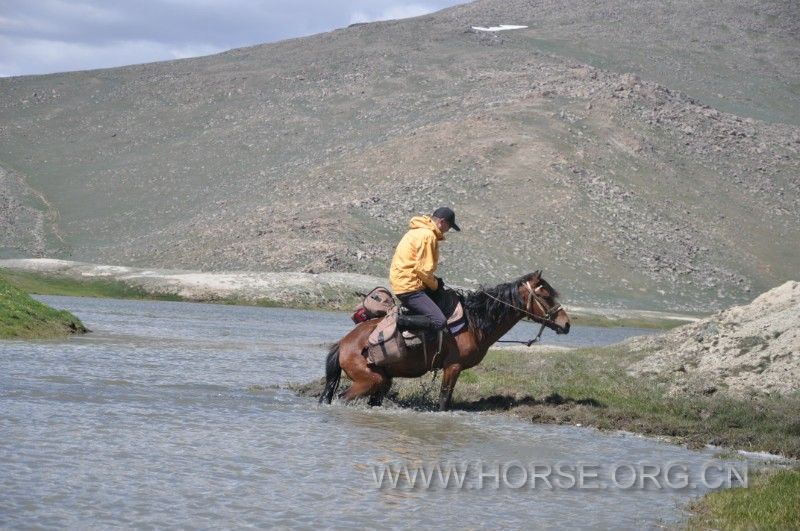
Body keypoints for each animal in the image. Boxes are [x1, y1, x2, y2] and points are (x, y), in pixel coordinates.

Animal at [318, 270, 568, 412]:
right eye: (545, 295)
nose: (566, 323)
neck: (474, 322)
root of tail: (343, 344)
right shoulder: (453, 367)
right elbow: (444, 400)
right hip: (368, 381)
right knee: (342, 398)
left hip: (383, 380)